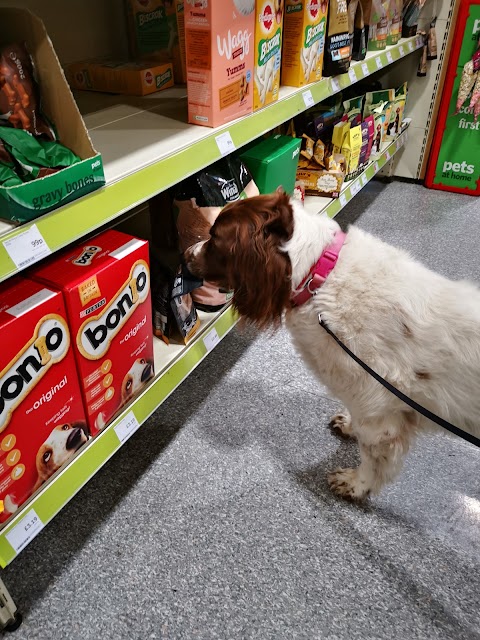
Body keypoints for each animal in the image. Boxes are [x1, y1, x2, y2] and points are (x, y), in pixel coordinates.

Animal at [186, 190, 480, 500]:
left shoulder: (379, 412)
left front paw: (356, 484)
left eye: (215, 237)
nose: (185, 254)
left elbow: (372, 457)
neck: (319, 278)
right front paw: (349, 426)